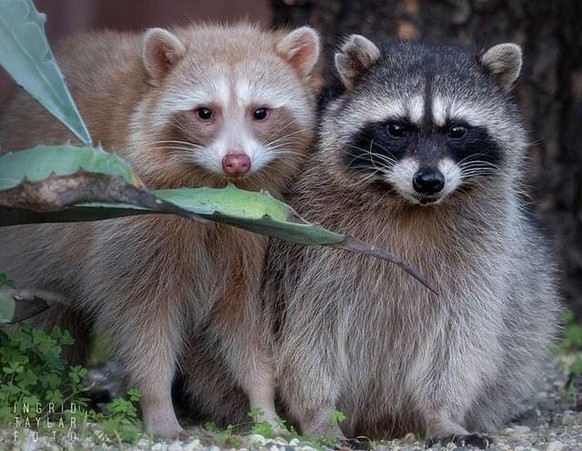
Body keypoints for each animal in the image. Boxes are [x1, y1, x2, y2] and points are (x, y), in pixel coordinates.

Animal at [268, 35, 560, 448]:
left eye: (457, 131)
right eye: (396, 128)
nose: (429, 181)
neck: (409, 204)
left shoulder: (487, 250)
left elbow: (460, 337)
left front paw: (442, 414)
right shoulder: (305, 247)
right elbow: (307, 334)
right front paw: (318, 414)